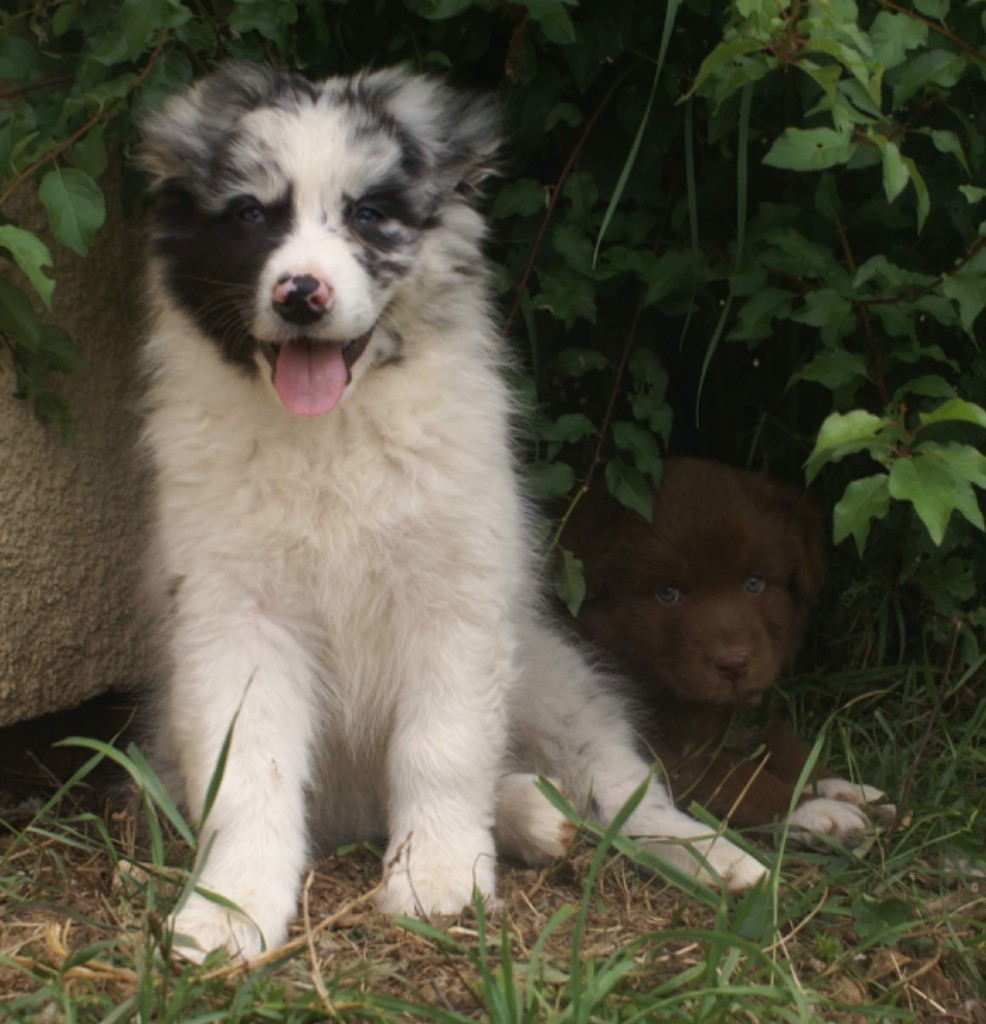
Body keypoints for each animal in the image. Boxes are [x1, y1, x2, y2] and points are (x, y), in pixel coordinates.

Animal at [561, 460, 892, 843]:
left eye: (754, 583)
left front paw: (840, 786)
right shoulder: (660, 753)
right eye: (667, 593)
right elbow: (735, 775)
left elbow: (782, 742)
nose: (733, 665)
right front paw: (817, 809)